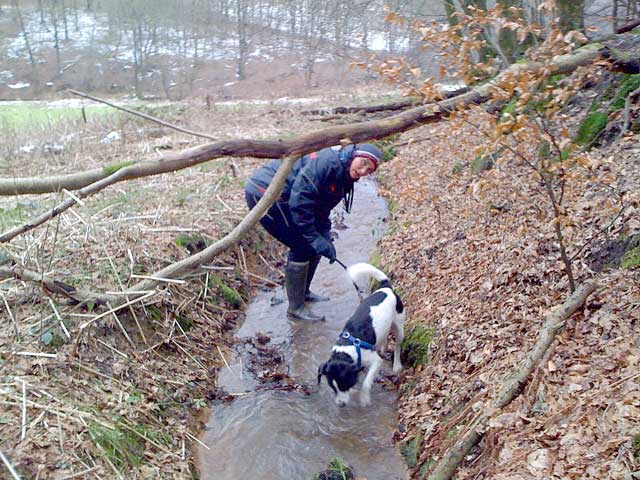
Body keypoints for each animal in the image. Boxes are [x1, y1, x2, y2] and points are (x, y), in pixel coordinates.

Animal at [316, 264, 404, 406]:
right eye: (332, 387)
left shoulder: (374, 360)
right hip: (383, 330)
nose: (340, 404)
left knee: (397, 346)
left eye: (343, 385)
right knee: (383, 341)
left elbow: (366, 383)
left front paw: (364, 398)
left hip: (399, 326)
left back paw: (396, 365)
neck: (346, 350)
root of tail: (386, 288)